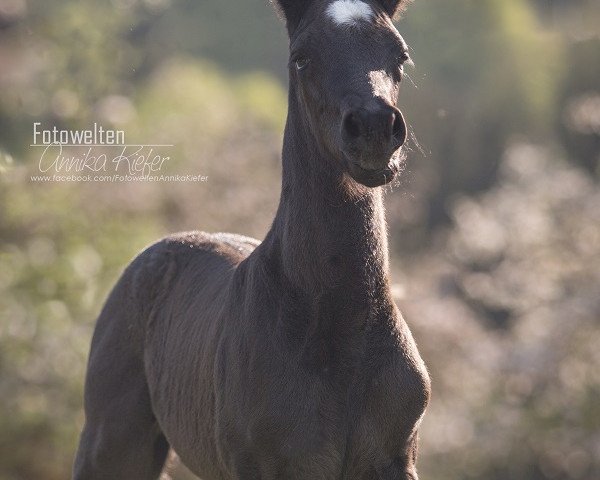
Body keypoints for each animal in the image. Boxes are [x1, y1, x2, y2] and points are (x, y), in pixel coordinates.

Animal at [74, 0, 432, 476]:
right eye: (301, 58)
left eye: (401, 55)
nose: (374, 127)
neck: (341, 336)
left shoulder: (394, 459)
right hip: (112, 444)